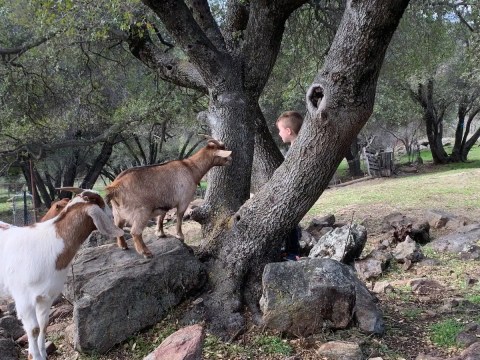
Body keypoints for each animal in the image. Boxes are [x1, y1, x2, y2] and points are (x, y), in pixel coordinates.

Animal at [0, 190, 124, 358]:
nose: (112, 215)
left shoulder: (46, 296)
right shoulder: (23, 298)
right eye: (101, 204)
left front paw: (42, 355)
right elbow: (33, 329)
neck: (49, 244)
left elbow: (43, 324)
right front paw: (35, 356)